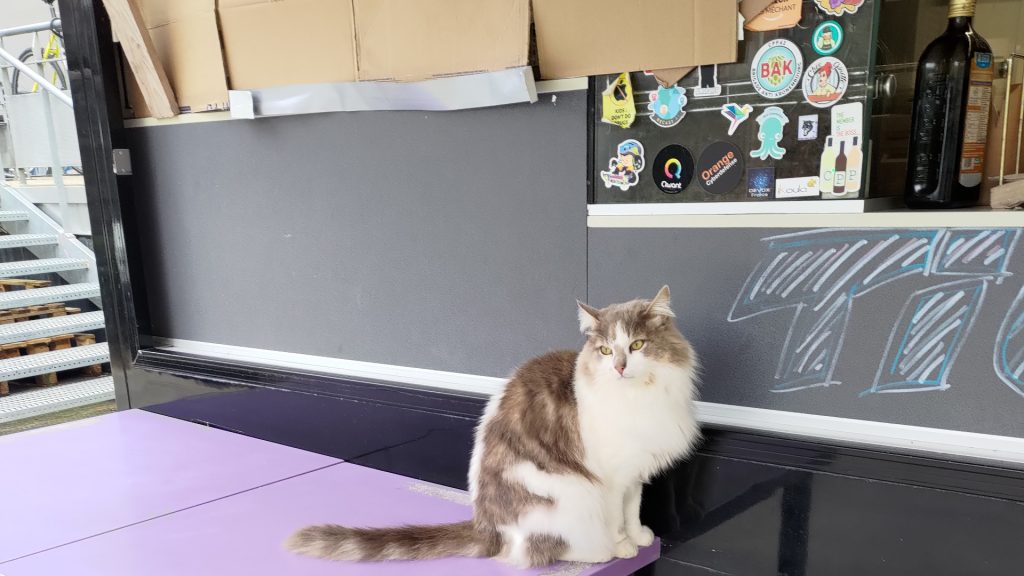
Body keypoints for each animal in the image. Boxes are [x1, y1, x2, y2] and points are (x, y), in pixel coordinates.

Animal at [288, 284, 704, 565]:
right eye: (605, 350)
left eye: (636, 346)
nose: (618, 366)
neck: (641, 397)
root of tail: (485, 526)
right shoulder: (612, 478)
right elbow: (617, 518)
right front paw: (623, 546)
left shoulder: (634, 474)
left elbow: (633, 510)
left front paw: (641, 536)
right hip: (570, 495)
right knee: (541, 551)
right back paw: (600, 553)